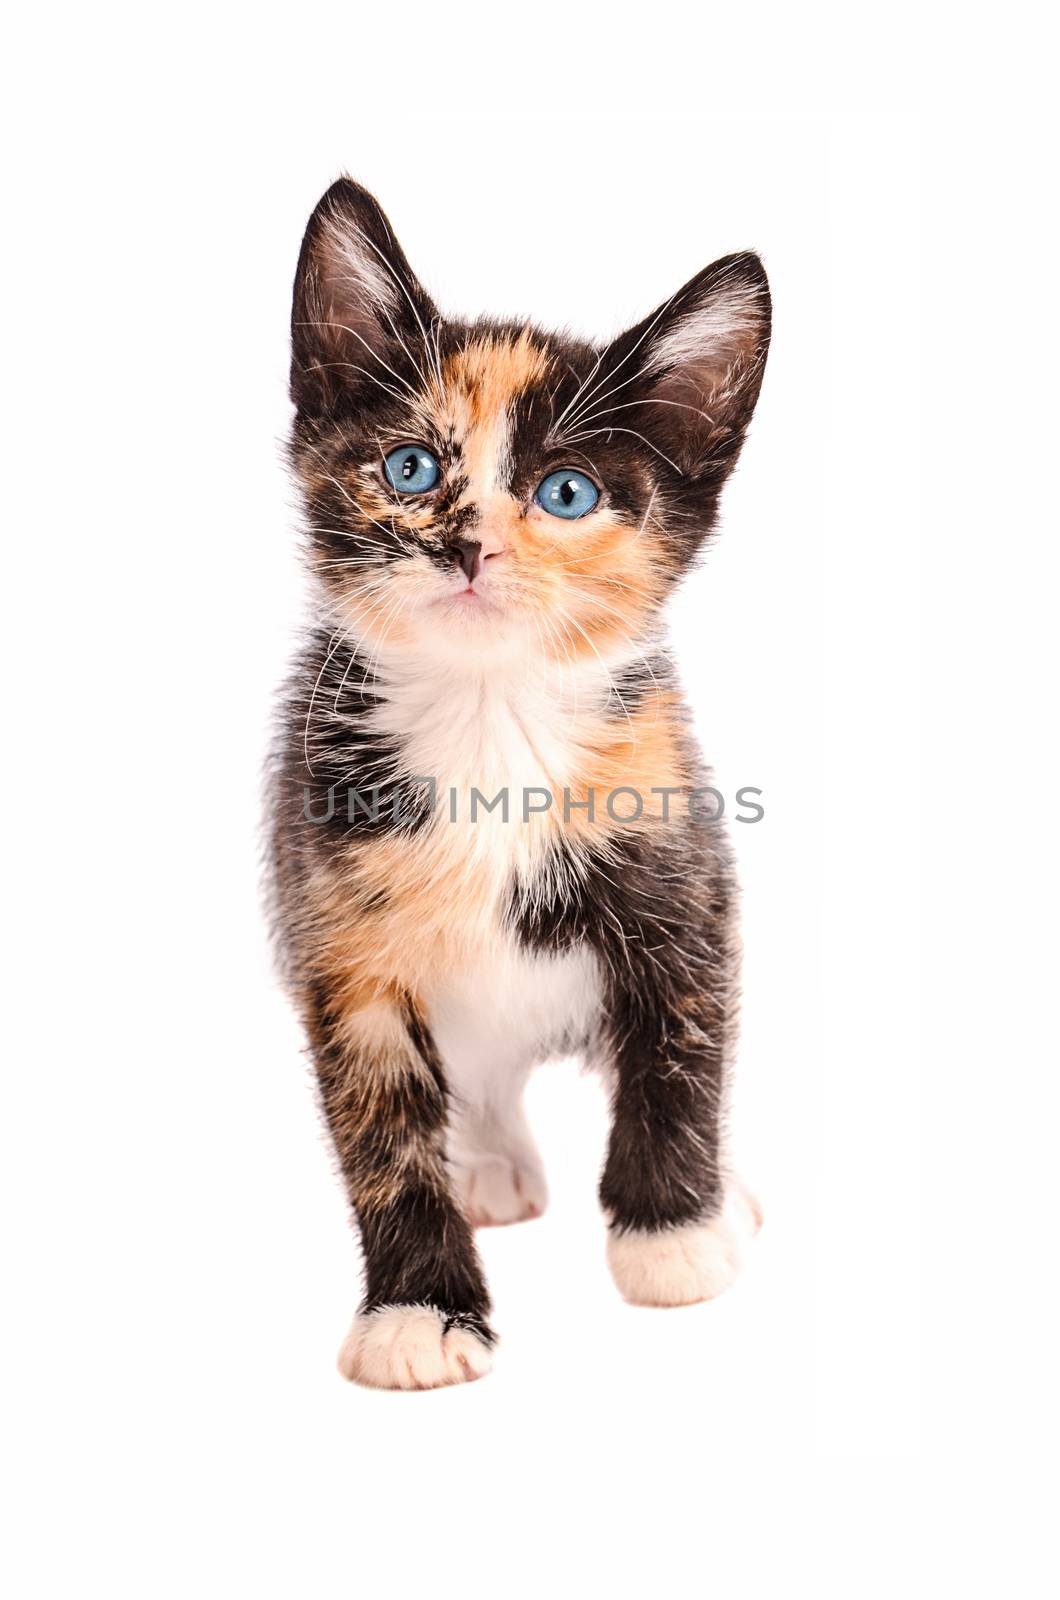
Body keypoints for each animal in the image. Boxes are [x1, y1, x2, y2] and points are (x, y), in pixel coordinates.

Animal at [270, 172, 771, 1376]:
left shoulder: (683, 875)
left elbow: (682, 1056)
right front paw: (418, 1311)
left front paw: (674, 1238)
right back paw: (488, 1163)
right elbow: (381, 1137)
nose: (467, 547)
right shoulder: (335, 934)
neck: (487, 712)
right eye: (409, 468)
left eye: (567, 493)